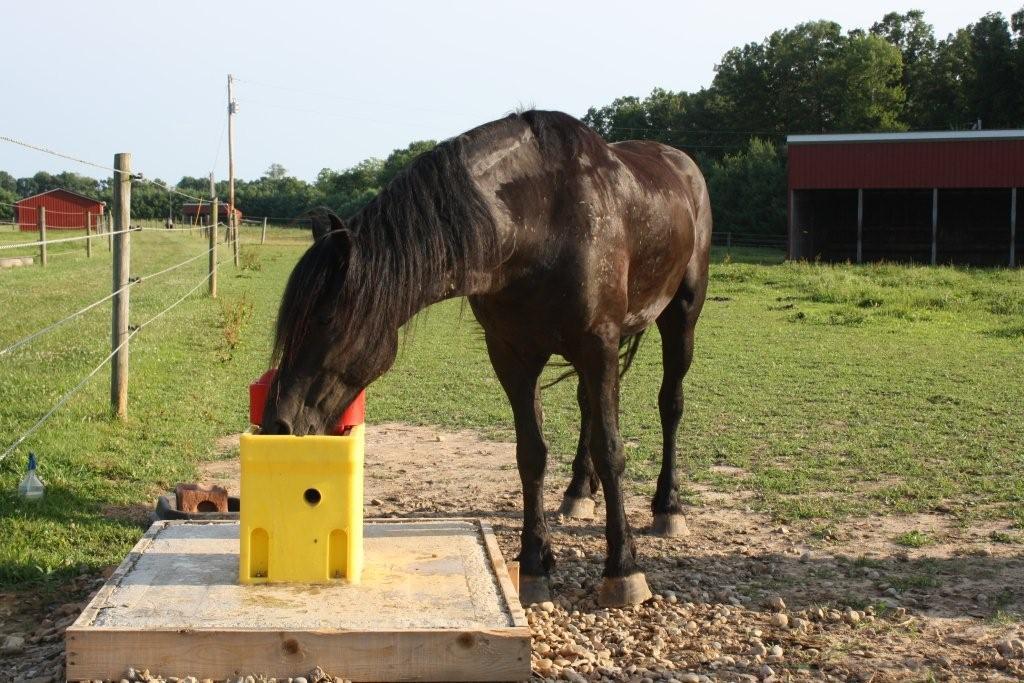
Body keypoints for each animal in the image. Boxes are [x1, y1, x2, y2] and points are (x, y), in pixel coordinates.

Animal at [261, 110, 711, 607]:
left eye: (325, 319)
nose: (277, 423)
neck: (542, 224)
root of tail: (682, 163)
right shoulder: (512, 355)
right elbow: (530, 454)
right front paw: (533, 566)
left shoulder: (599, 345)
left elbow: (611, 450)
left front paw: (624, 569)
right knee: (587, 408)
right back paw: (579, 491)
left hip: (680, 317)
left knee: (670, 405)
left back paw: (668, 507)